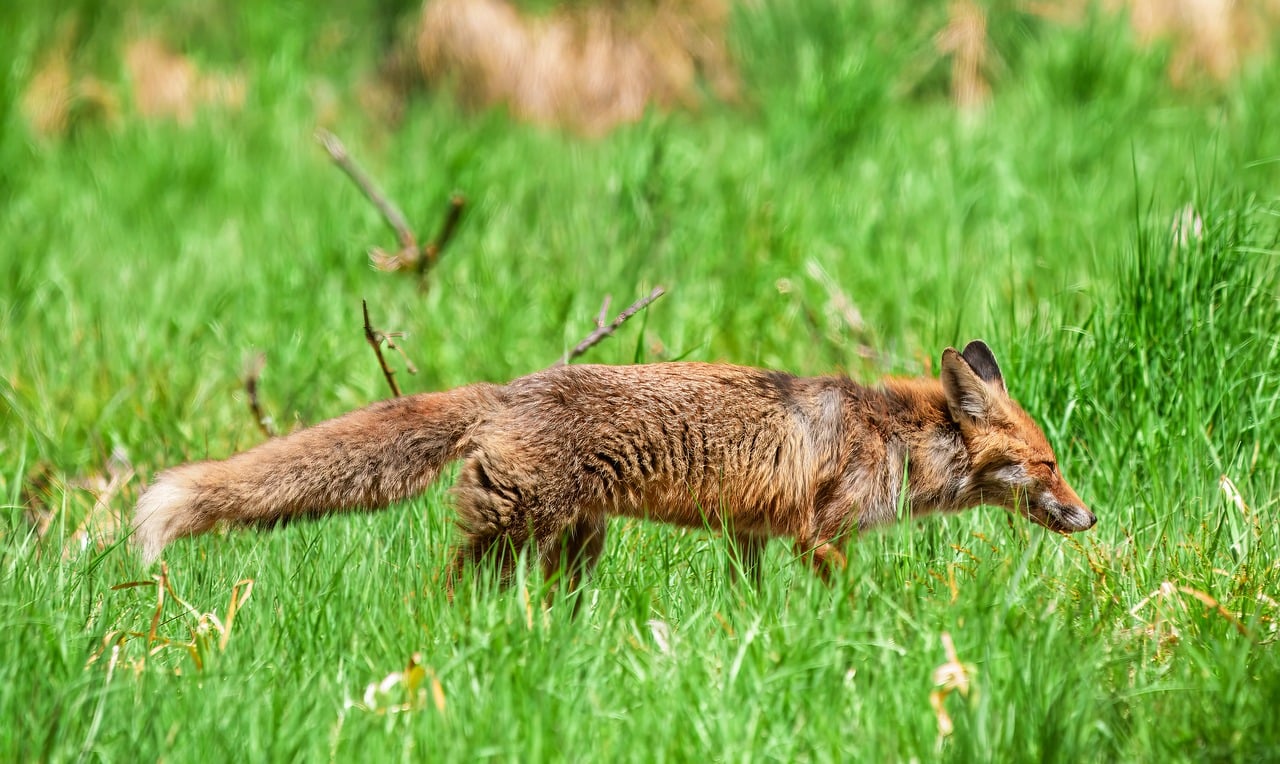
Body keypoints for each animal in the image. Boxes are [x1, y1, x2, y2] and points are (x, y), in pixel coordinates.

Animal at [132, 340, 1095, 585]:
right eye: (1047, 465)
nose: (1090, 516)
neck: (893, 438)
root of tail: (508, 389)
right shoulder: (821, 533)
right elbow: (854, 595)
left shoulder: (750, 533)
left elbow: (750, 601)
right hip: (514, 531)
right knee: (441, 591)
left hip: (576, 544)